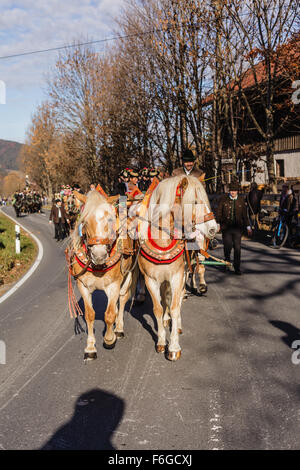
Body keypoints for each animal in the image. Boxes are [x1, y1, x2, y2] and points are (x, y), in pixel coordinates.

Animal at [68, 190, 137, 360]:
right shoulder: (83, 286)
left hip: (128, 275)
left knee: (122, 298)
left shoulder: (114, 285)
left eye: (110, 219)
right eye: (85, 221)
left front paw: (109, 338)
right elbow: (90, 315)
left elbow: (109, 314)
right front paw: (90, 347)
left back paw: (118, 329)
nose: (98, 255)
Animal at [137, 174, 218, 362]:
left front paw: (173, 347)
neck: (162, 244)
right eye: (194, 201)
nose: (213, 228)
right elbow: (158, 308)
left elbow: (175, 307)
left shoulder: (177, 277)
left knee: (179, 297)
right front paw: (161, 341)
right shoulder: (151, 280)